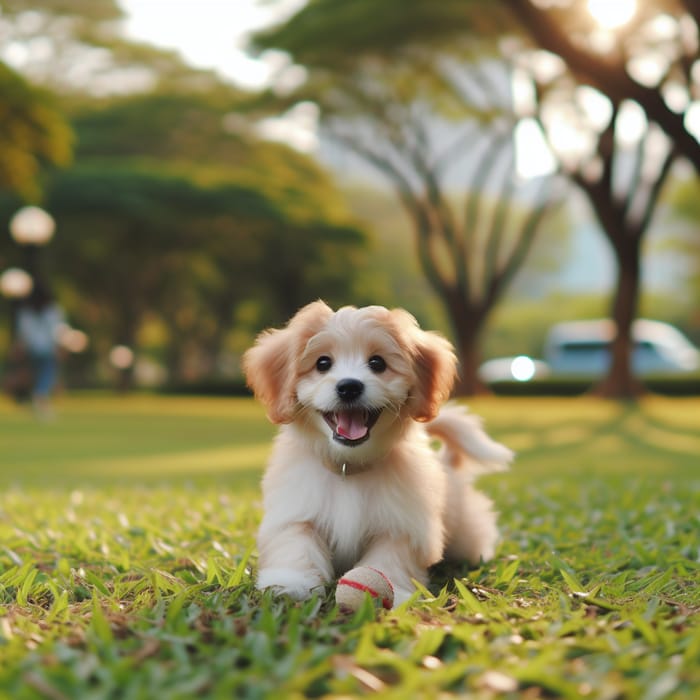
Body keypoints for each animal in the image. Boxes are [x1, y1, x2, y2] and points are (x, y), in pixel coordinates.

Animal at [243, 304, 512, 604]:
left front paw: (391, 588)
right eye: (322, 363)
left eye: (377, 363)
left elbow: (390, 557)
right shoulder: (296, 511)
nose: (349, 386)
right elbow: (296, 545)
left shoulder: (401, 525)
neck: (348, 467)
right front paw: (291, 583)